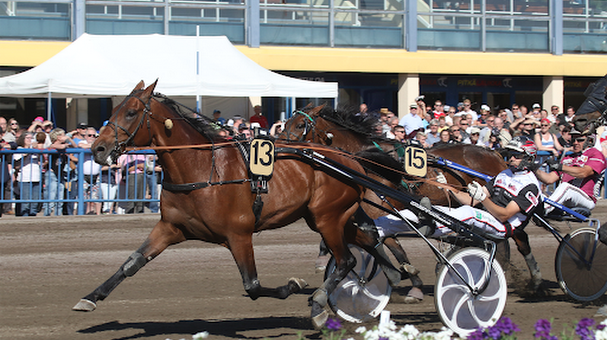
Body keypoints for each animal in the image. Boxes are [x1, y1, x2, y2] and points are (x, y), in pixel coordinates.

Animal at [73, 81, 396, 328]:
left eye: (131, 112)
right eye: (113, 110)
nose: (97, 148)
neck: (201, 169)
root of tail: (349, 159)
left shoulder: (238, 234)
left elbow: (252, 286)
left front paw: (292, 286)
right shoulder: (170, 227)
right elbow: (132, 263)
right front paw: (89, 298)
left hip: (327, 217)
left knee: (346, 260)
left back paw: (319, 305)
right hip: (326, 217)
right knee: (368, 240)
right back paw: (392, 273)